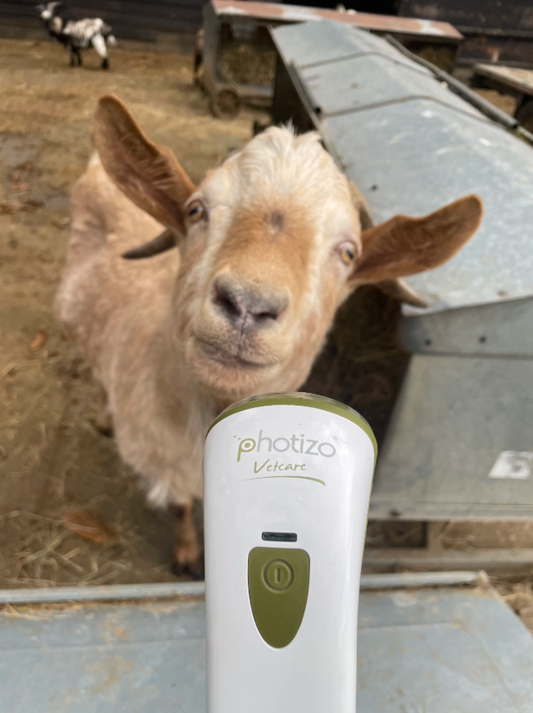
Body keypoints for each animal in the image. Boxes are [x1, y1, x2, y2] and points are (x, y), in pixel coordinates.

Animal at [56, 95, 482, 577]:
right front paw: (187, 556)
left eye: (348, 251)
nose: (248, 304)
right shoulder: (166, 460)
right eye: (196, 210)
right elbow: (182, 505)